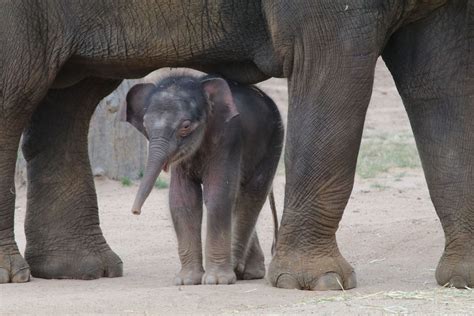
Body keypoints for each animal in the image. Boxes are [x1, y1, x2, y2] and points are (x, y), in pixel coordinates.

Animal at [124, 70, 284, 286]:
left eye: (185, 126)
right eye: (145, 126)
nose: (135, 211)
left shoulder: (229, 138)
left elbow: (218, 195)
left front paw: (216, 281)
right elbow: (183, 200)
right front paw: (186, 281)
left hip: (274, 139)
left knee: (252, 193)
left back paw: (239, 268)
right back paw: (247, 272)